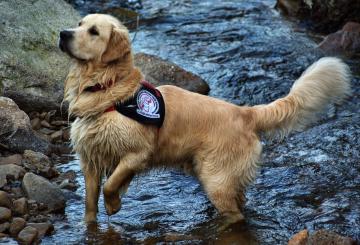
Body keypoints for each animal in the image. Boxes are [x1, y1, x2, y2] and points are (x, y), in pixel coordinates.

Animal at [58, 13, 348, 228]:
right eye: (79, 24)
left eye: (94, 32)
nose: (63, 33)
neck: (105, 89)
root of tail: (246, 113)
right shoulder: (89, 160)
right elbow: (89, 203)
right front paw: (90, 225)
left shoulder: (138, 154)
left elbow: (111, 184)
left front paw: (113, 205)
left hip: (216, 178)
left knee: (235, 215)